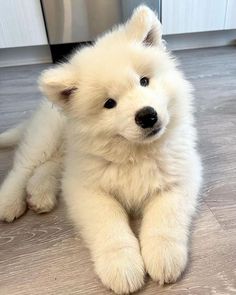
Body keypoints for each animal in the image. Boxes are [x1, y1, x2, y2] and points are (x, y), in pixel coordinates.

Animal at [0, 5, 201, 295]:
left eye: (144, 81)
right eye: (109, 103)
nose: (147, 116)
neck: (135, 153)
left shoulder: (180, 176)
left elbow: (165, 218)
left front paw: (163, 256)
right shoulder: (88, 189)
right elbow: (109, 226)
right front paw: (122, 267)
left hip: (68, 155)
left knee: (51, 167)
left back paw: (40, 193)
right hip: (46, 136)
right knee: (22, 168)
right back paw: (9, 202)